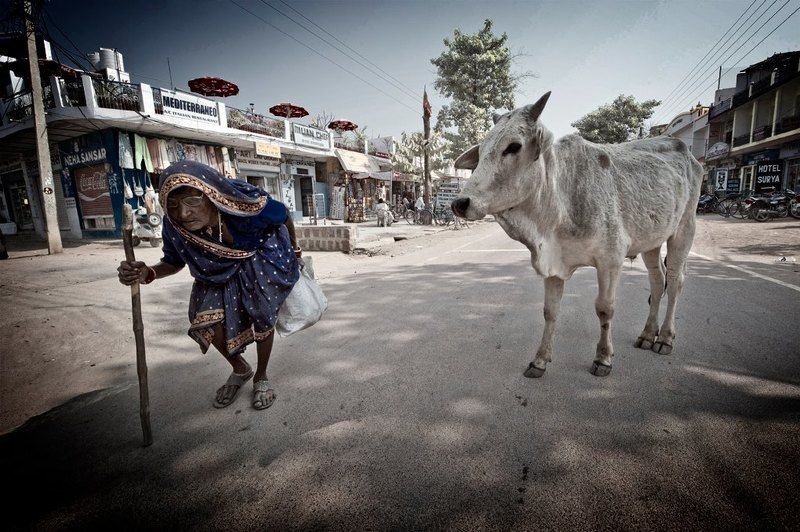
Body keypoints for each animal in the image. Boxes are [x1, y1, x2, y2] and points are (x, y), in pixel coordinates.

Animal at [451, 92, 702, 377]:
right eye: (481, 151)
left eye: (513, 146)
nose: (460, 203)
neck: (560, 199)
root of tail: (686, 151)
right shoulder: (554, 263)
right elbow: (550, 311)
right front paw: (540, 360)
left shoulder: (610, 260)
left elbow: (605, 309)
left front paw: (603, 358)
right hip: (652, 239)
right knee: (658, 281)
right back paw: (648, 334)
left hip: (684, 228)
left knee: (675, 281)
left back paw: (665, 338)